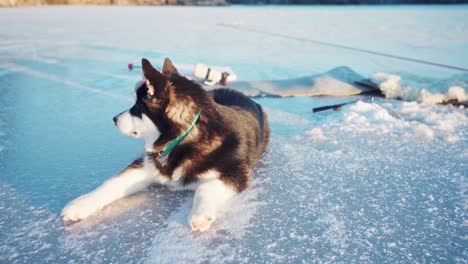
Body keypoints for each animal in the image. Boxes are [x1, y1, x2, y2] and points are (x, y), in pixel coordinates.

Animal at [60, 57, 268, 231]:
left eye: (137, 108)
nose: (114, 119)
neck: (183, 138)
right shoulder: (147, 165)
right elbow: (112, 183)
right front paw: (81, 203)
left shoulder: (236, 172)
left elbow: (205, 188)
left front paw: (200, 214)